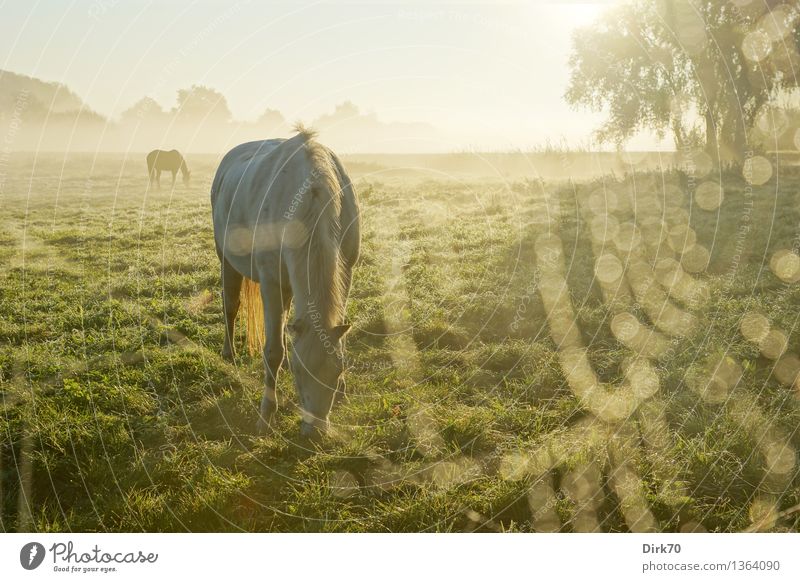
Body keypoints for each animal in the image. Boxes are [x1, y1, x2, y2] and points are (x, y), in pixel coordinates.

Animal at [212, 128, 362, 438]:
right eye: (297, 372)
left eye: (338, 370)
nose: (315, 433)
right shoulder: (272, 285)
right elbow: (274, 352)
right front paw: (266, 415)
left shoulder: (347, 273)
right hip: (226, 260)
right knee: (230, 305)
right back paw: (229, 353)